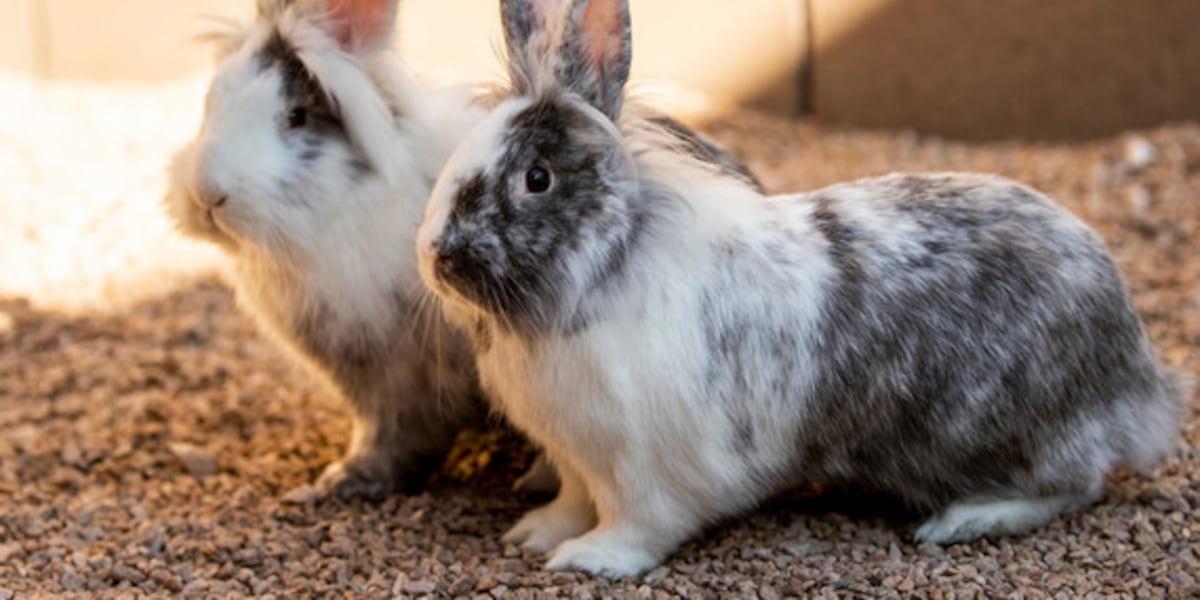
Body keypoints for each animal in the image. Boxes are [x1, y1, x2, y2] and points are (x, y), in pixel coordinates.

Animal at [163, 0, 760, 500]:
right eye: (212, 100)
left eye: (295, 118)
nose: (207, 195)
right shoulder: (378, 390)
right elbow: (386, 440)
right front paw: (343, 480)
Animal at [414, 0, 1184, 578]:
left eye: (536, 179)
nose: (433, 256)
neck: (609, 266)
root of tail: (1137, 377)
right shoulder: (578, 457)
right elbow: (572, 502)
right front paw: (535, 535)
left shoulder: (645, 469)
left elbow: (639, 526)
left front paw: (590, 560)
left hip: (1015, 434)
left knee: (1076, 484)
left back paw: (966, 517)